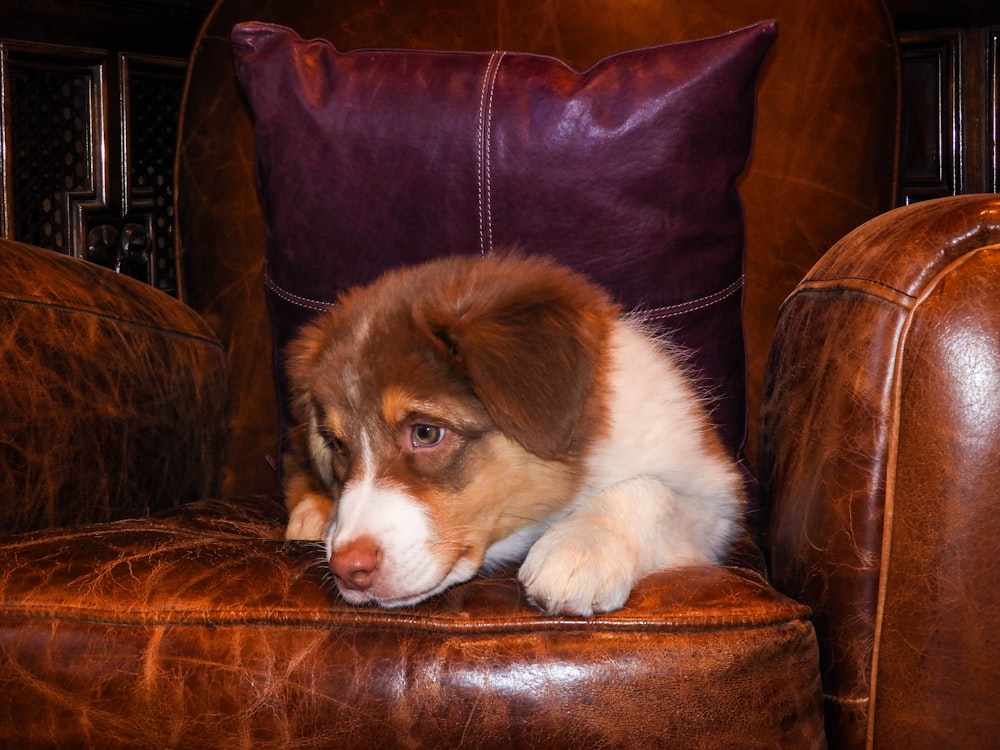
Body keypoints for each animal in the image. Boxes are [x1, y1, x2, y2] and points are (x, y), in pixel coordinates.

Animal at [282, 253, 744, 616]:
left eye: (426, 433)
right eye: (338, 446)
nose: (348, 570)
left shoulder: (716, 497)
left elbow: (651, 490)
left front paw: (580, 550)